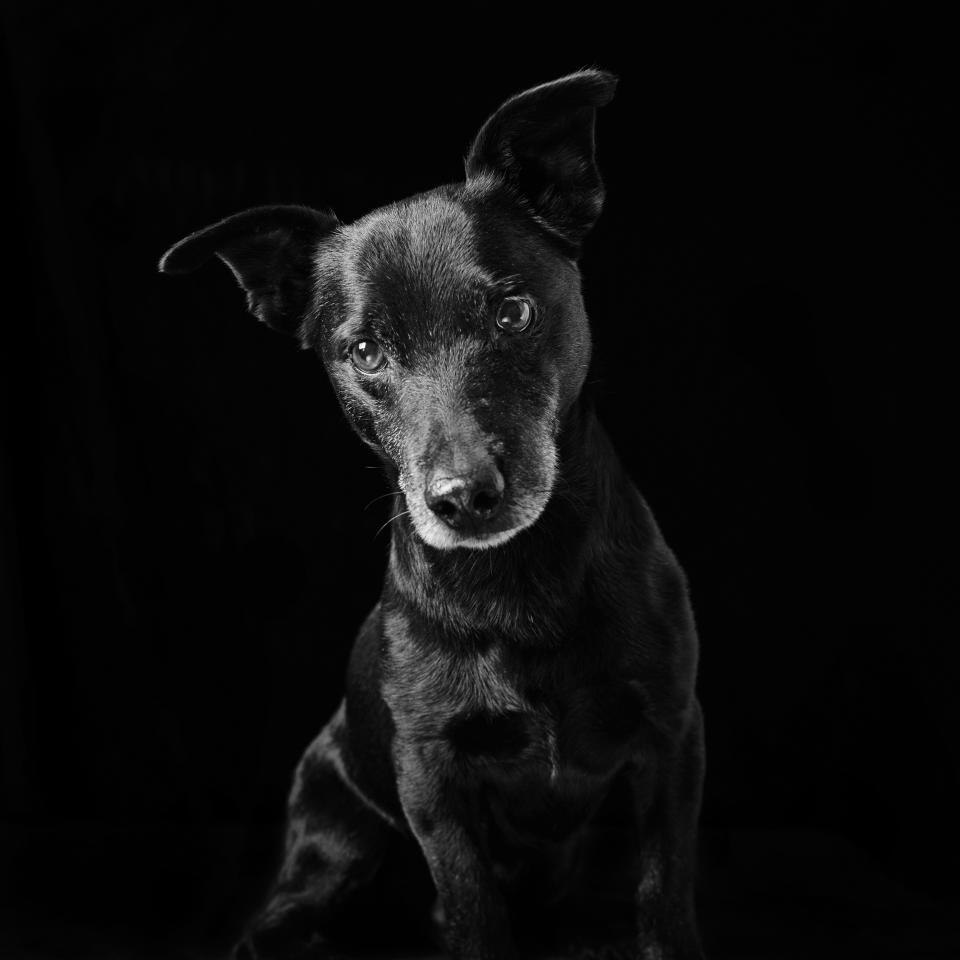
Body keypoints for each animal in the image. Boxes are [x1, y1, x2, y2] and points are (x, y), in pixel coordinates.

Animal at [159, 69, 704, 960]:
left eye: (512, 313)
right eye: (365, 353)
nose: (462, 497)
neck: (521, 577)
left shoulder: (672, 741)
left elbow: (663, 897)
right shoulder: (431, 784)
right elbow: (474, 910)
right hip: (337, 833)